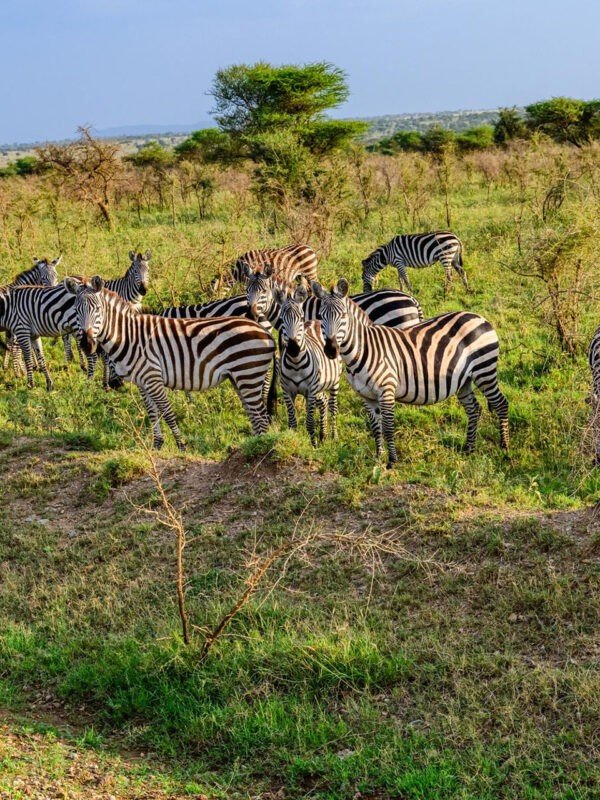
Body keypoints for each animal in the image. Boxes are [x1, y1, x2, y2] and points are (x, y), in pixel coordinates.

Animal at [63, 276, 277, 449]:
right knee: (254, 414)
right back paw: (253, 444)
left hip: (248, 374)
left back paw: (260, 447)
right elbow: (152, 413)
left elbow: (167, 412)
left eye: (97, 310)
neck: (129, 336)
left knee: (260, 415)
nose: (87, 344)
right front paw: (157, 444)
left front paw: (181, 444)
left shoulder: (153, 377)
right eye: (76, 311)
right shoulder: (142, 382)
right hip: (239, 377)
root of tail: (265, 332)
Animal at [275, 284, 342, 445]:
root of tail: (315, 320)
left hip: (334, 381)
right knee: (323, 401)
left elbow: (310, 422)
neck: (296, 364)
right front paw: (293, 440)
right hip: (319, 385)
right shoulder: (287, 391)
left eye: (300, 317)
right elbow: (292, 422)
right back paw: (323, 435)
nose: (293, 349)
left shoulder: (310, 391)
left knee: (332, 406)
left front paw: (313, 445)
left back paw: (333, 435)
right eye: (281, 319)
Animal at [312, 279, 509, 468]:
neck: (363, 349)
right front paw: (378, 457)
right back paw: (469, 448)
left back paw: (504, 448)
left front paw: (392, 461)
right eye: (320, 317)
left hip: (484, 370)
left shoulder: (387, 390)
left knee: (501, 404)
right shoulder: (366, 396)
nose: (330, 350)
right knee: (474, 409)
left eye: (343, 316)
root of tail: (479, 317)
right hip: (465, 380)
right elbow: (376, 427)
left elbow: (388, 427)